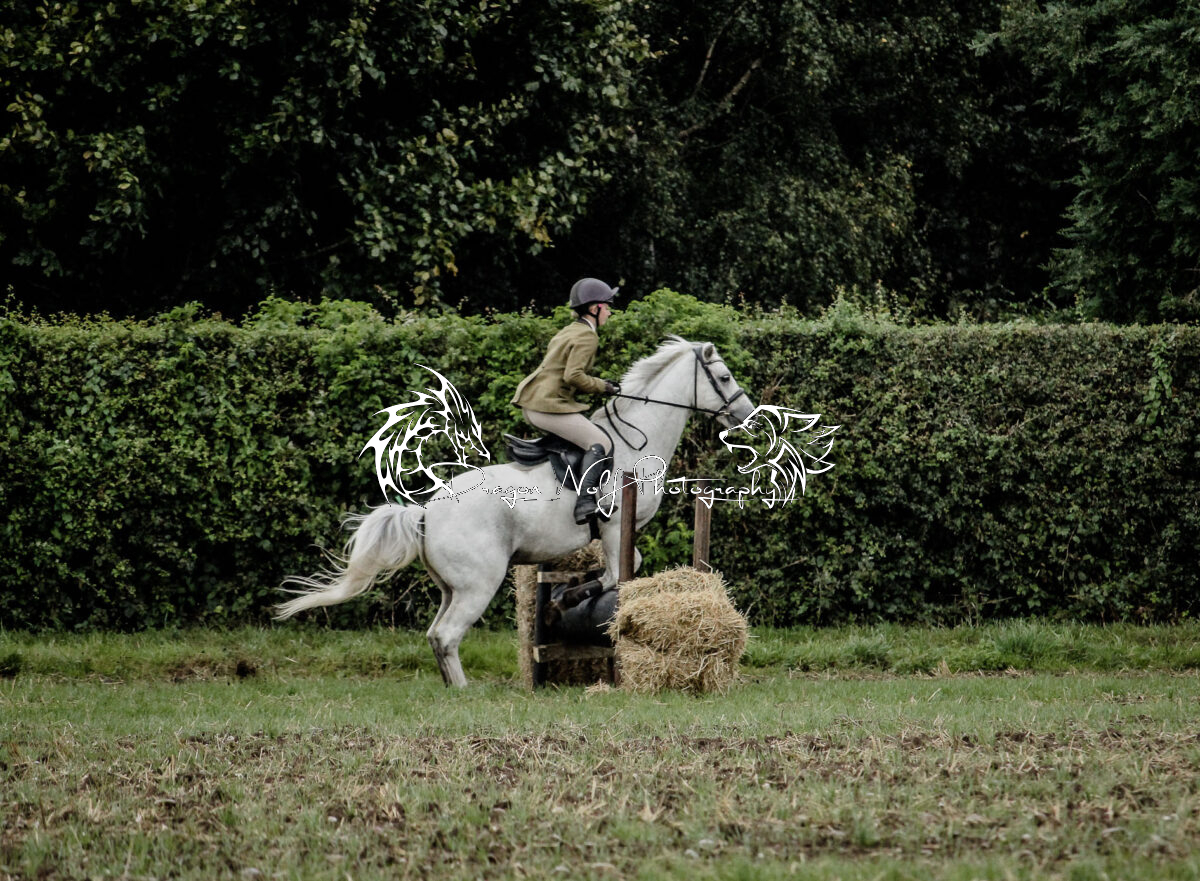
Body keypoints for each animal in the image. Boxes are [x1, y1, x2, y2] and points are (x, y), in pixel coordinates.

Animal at [275, 336, 758, 686]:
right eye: (724, 375)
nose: (748, 417)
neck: (639, 441)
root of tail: (426, 513)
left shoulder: (611, 534)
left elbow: (614, 574)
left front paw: (568, 596)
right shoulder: (617, 527)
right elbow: (622, 572)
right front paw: (574, 597)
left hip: (452, 587)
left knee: (436, 635)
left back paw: (453, 687)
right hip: (479, 584)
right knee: (447, 635)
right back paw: (465, 694)